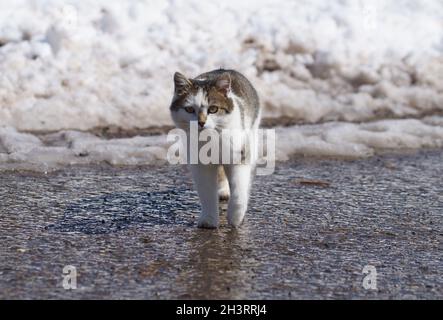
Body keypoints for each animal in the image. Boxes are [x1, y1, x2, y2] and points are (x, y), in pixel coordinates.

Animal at [169, 68, 260, 228]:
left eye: (213, 109)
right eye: (189, 109)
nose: (201, 122)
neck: (212, 139)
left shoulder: (239, 156)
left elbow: (239, 190)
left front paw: (235, 218)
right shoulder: (200, 165)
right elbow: (206, 192)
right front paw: (209, 220)